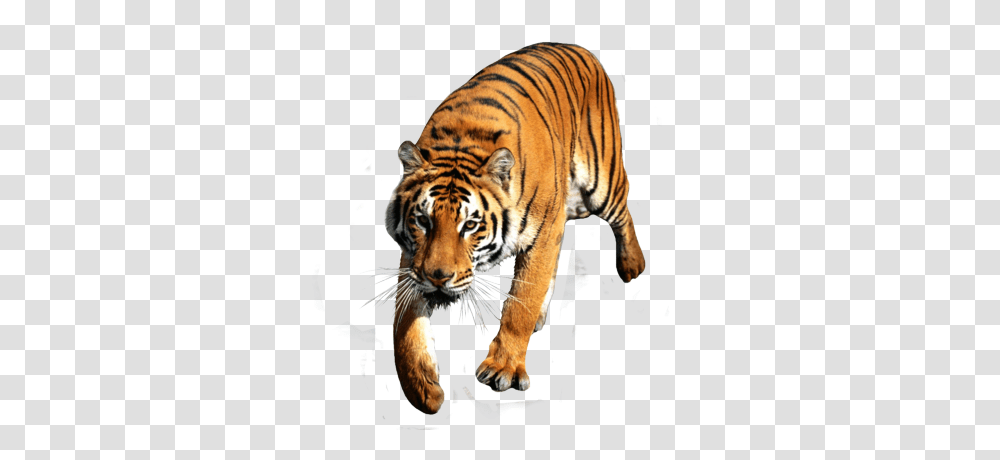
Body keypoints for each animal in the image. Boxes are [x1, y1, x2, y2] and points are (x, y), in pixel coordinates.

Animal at [383, 42, 645, 414]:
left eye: (470, 225)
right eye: (422, 220)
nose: (438, 277)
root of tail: (579, 48)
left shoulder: (543, 231)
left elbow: (521, 300)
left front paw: (502, 369)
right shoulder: (414, 259)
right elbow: (402, 323)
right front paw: (422, 388)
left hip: (600, 182)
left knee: (623, 212)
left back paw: (633, 265)